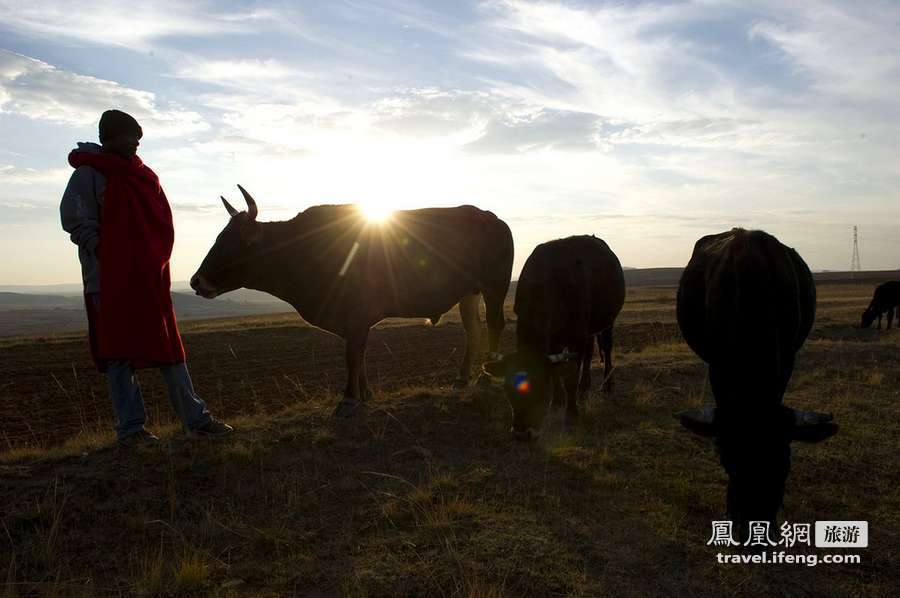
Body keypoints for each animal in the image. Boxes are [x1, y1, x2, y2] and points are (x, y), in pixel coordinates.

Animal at [190, 188, 512, 418]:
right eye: (218, 238)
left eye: (231, 244)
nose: (196, 281)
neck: (301, 251)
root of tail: (490, 217)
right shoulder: (354, 322)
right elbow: (360, 356)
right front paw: (365, 393)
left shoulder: (356, 316)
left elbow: (353, 356)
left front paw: (348, 399)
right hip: (469, 293)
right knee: (473, 331)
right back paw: (461, 378)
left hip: (494, 288)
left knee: (495, 325)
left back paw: (486, 376)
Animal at [482, 238, 624, 440]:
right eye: (507, 391)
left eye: (542, 390)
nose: (522, 433)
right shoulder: (555, 341)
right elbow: (557, 373)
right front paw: (557, 401)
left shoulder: (576, 336)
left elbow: (570, 378)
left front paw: (571, 412)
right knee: (589, 353)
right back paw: (584, 387)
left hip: (607, 322)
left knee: (606, 348)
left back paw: (607, 384)